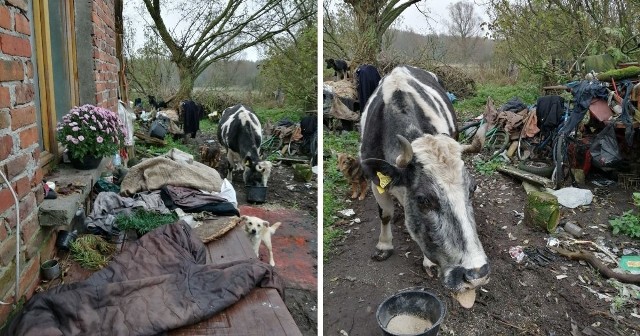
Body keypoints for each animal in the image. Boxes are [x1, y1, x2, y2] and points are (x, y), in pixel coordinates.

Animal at [360, 65, 490, 304]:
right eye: (423, 199)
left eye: (473, 188)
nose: (476, 275)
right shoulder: (375, 181)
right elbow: (385, 214)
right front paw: (384, 246)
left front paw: (428, 262)